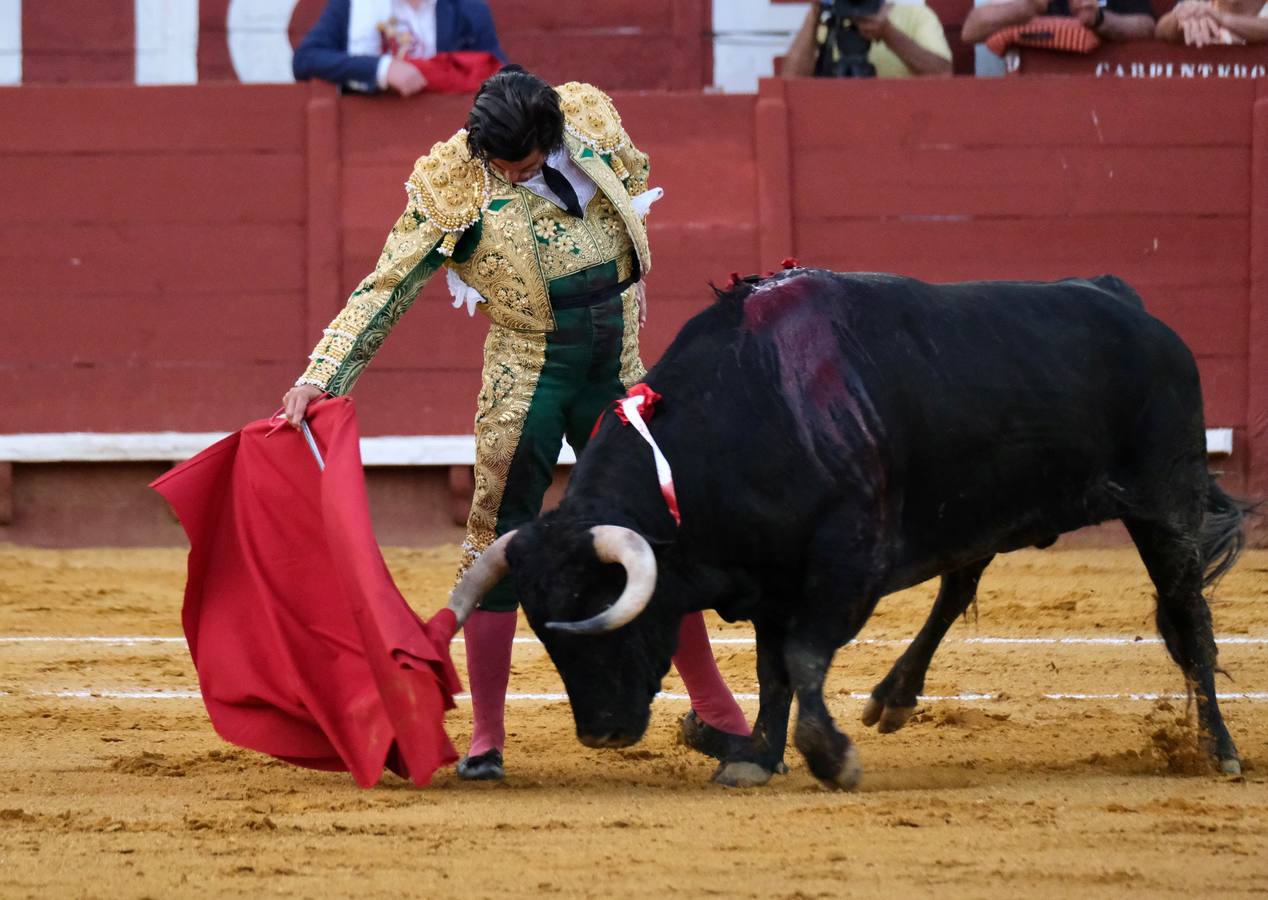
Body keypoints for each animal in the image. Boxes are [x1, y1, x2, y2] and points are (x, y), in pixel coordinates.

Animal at [446, 267, 1247, 790]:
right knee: (959, 586)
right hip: (980, 506)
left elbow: (803, 658)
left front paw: (829, 758)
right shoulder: (770, 582)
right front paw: (754, 757)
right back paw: (893, 697)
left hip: (1166, 502)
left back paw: (1220, 750)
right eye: (544, 633)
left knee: (1188, 619)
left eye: (603, 612)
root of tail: (1127, 302)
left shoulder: (846, 565)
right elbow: (773, 671)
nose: (601, 733)